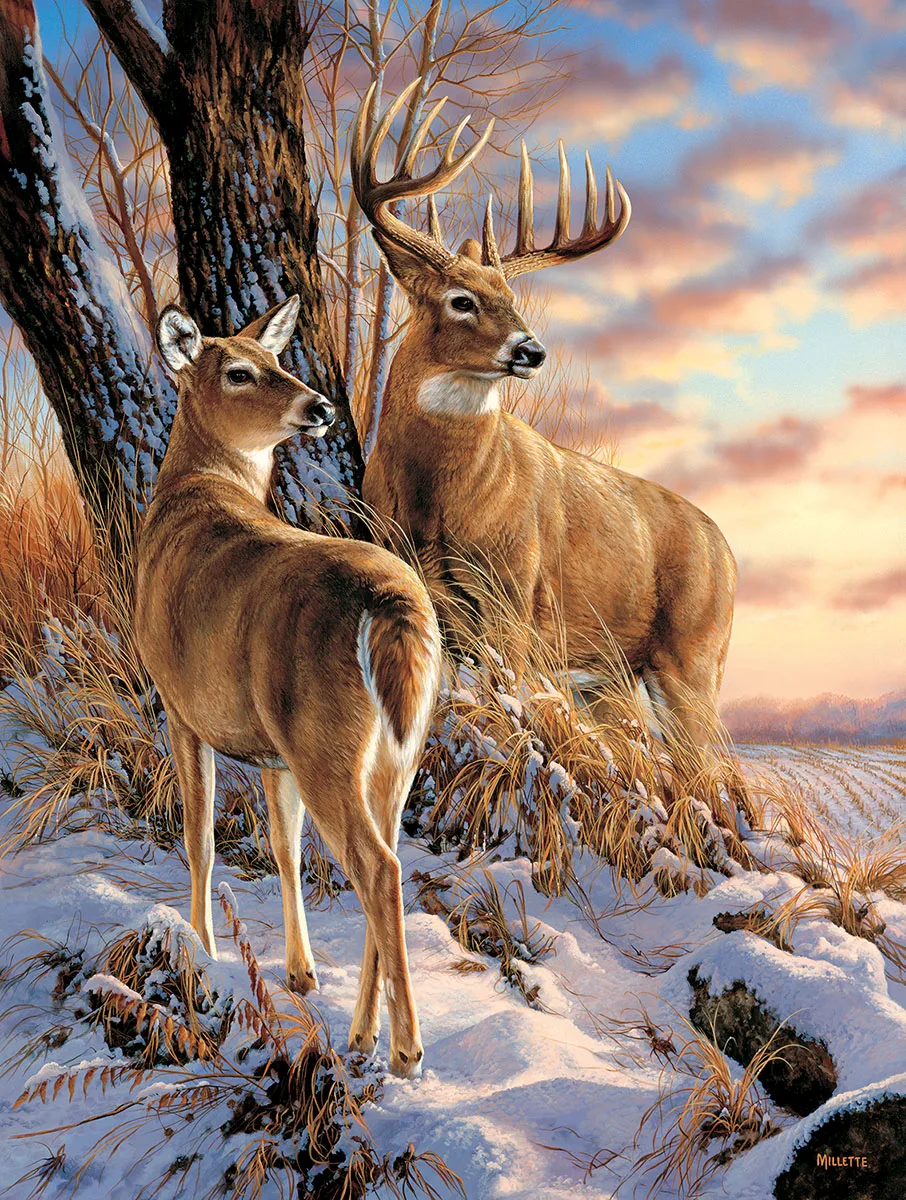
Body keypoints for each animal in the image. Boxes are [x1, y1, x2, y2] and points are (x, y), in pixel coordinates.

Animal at [134, 296, 441, 1077]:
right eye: (240, 371)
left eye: (277, 359)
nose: (321, 406)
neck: (194, 492)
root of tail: (390, 603)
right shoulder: (269, 748)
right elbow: (282, 845)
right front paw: (300, 972)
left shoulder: (179, 704)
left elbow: (199, 836)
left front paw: (203, 950)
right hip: (395, 748)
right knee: (386, 858)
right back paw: (362, 1034)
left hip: (324, 741)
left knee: (378, 867)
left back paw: (405, 1049)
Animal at [352, 81, 737, 769]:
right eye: (462, 300)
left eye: (513, 299)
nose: (532, 350)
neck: (439, 497)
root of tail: (730, 554)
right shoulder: (416, 579)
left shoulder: (516, 592)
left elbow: (508, 708)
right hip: (613, 674)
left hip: (694, 654)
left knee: (715, 769)